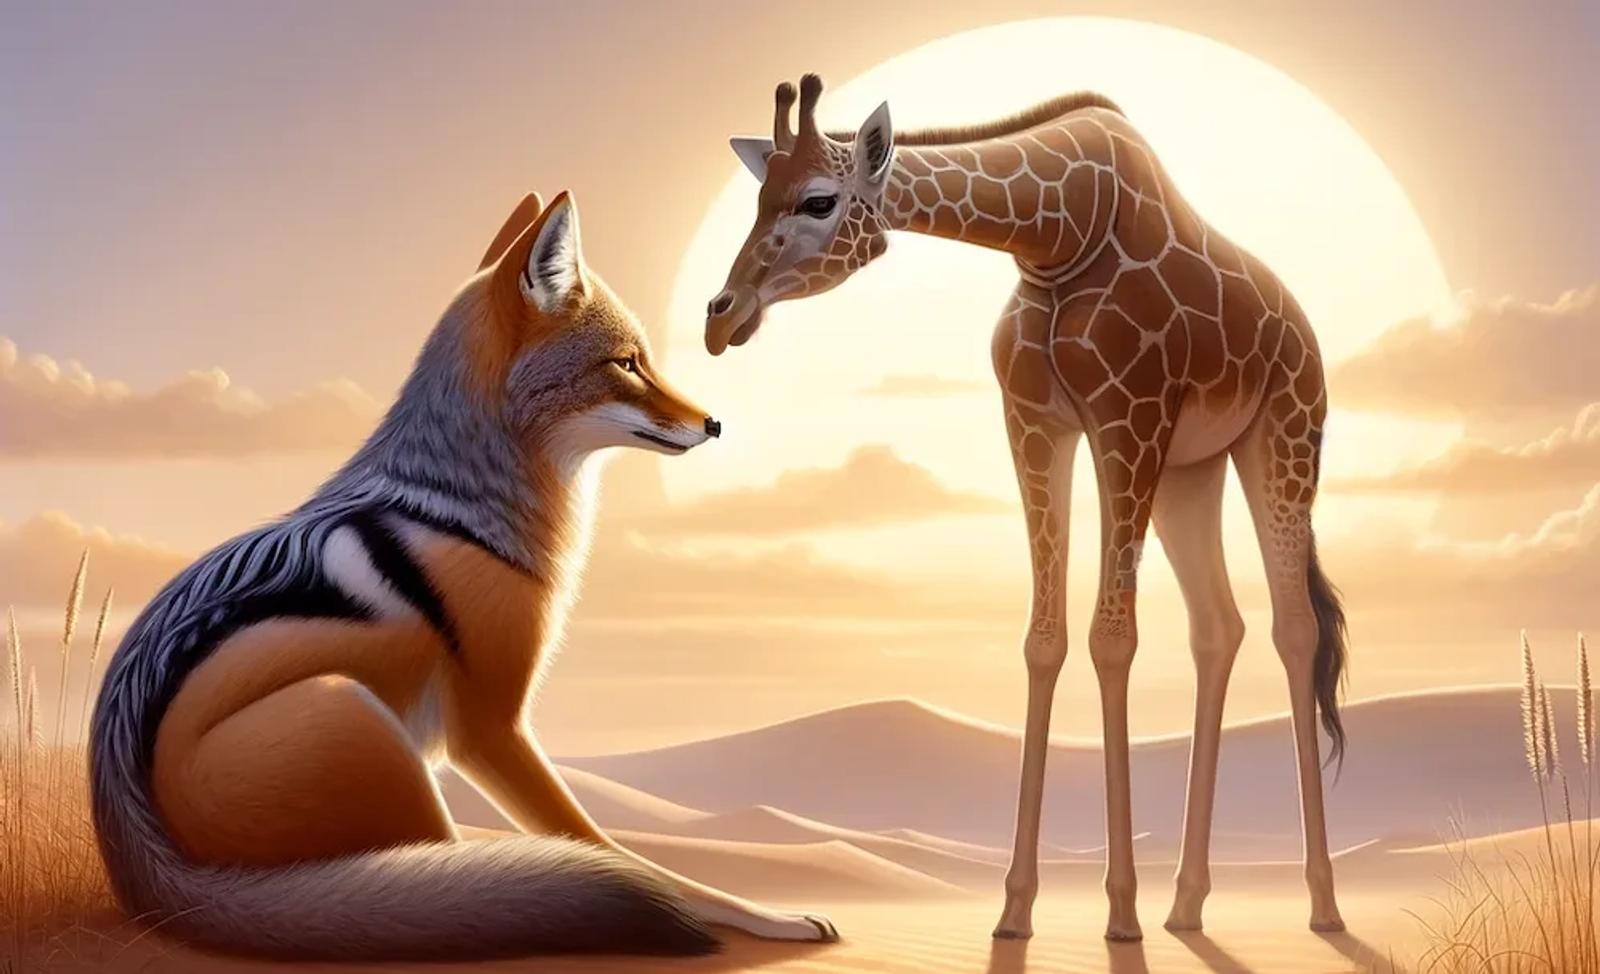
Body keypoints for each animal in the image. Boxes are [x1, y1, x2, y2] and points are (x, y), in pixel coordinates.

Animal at [704, 75, 1349, 942]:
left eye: (817, 200)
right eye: (756, 196)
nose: (721, 314)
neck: (1054, 235)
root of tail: (1306, 332)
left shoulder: (1128, 417)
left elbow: (1112, 639)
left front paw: (1119, 913)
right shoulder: (1034, 423)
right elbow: (1044, 641)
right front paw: (1015, 909)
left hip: (1283, 429)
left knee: (1295, 627)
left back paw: (1321, 904)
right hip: (1194, 468)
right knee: (1218, 627)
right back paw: (1186, 904)